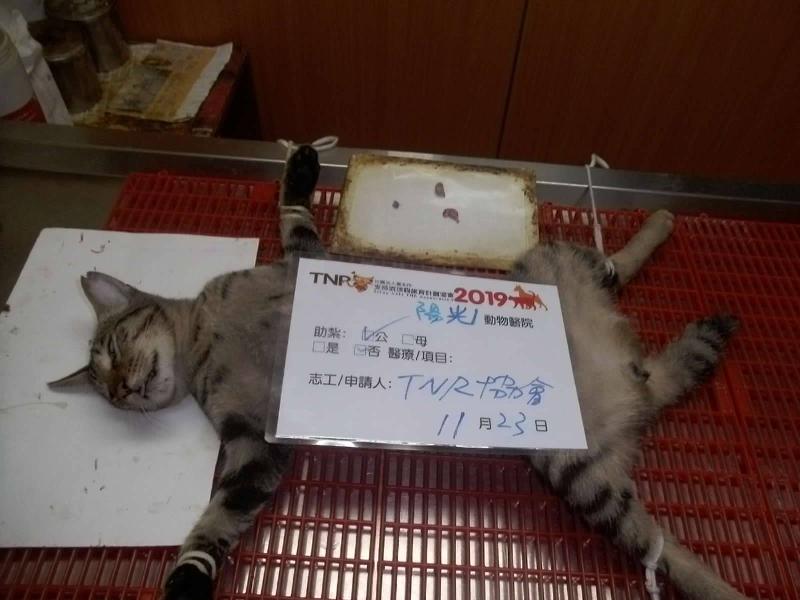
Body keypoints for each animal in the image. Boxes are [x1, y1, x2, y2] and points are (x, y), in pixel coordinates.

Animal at [49, 145, 747, 600]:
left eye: (114, 347)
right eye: (107, 392)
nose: (121, 387)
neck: (206, 339)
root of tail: (627, 381)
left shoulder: (303, 256)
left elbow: (292, 206)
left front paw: (303, 163)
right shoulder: (253, 443)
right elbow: (218, 519)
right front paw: (188, 573)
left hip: (545, 269)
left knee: (613, 264)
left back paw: (659, 221)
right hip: (581, 471)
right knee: (663, 546)